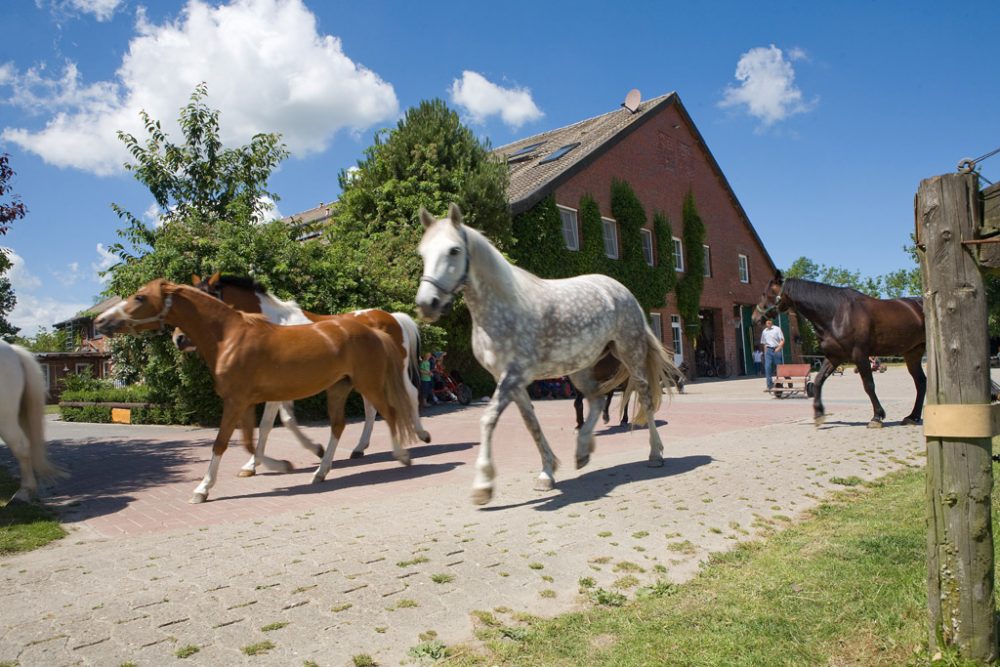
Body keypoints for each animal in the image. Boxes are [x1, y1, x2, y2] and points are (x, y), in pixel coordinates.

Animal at [96, 280, 418, 504]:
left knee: (396, 407)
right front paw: (276, 464)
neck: (230, 336)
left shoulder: (239, 401)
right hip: (342, 387)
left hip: (373, 379)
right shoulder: (250, 401)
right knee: (345, 423)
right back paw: (325, 469)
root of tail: (377, 325)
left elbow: (226, 442)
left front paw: (203, 488)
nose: (101, 322)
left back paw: (405, 451)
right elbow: (252, 440)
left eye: (139, 297)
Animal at [414, 204, 680, 506]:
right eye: (423, 253)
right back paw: (582, 452)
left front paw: (483, 485)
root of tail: (621, 291)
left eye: (454, 250)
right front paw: (547, 473)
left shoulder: (513, 376)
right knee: (597, 401)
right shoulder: (509, 380)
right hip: (580, 368)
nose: (427, 304)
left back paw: (655, 454)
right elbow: (531, 423)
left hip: (630, 353)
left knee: (644, 398)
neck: (503, 308)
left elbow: (488, 419)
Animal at [752, 272, 924, 428]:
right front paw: (819, 414)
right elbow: (818, 381)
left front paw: (877, 416)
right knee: (921, 381)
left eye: (766, 294)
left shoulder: (860, 355)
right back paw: (912, 417)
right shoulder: (834, 357)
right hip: (912, 353)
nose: (755, 318)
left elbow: (869, 385)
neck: (836, 313)